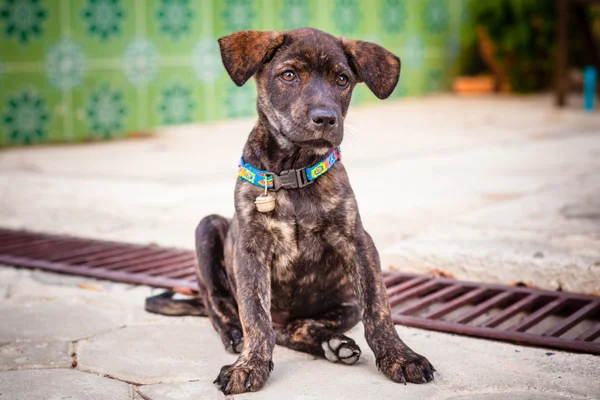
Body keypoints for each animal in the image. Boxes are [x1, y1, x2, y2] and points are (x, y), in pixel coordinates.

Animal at [146, 27, 436, 394]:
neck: (292, 170)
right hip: (208, 227)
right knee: (224, 305)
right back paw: (236, 333)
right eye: (288, 75)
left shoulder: (358, 242)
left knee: (290, 329)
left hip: (344, 305)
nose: (325, 118)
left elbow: (378, 307)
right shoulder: (250, 249)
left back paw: (333, 343)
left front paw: (400, 356)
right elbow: (254, 314)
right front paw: (250, 365)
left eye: (342, 79)